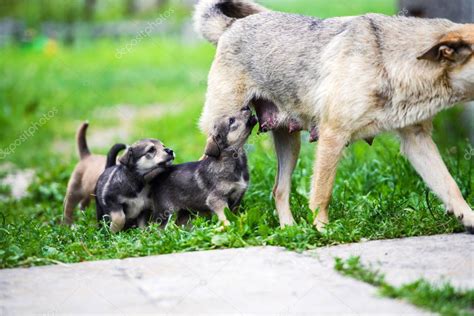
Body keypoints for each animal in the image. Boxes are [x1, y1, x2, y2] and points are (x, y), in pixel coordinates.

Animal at [193, 0, 474, 232]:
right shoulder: (333, 135)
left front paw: (468, 218)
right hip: (221, 130)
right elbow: (322, 192)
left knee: (279, 190)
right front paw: (322, 229)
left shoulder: (417, 141)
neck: (391, 58)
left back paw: (289, 230)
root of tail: (230, 27)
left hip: (289, 144)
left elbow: (449, 185)